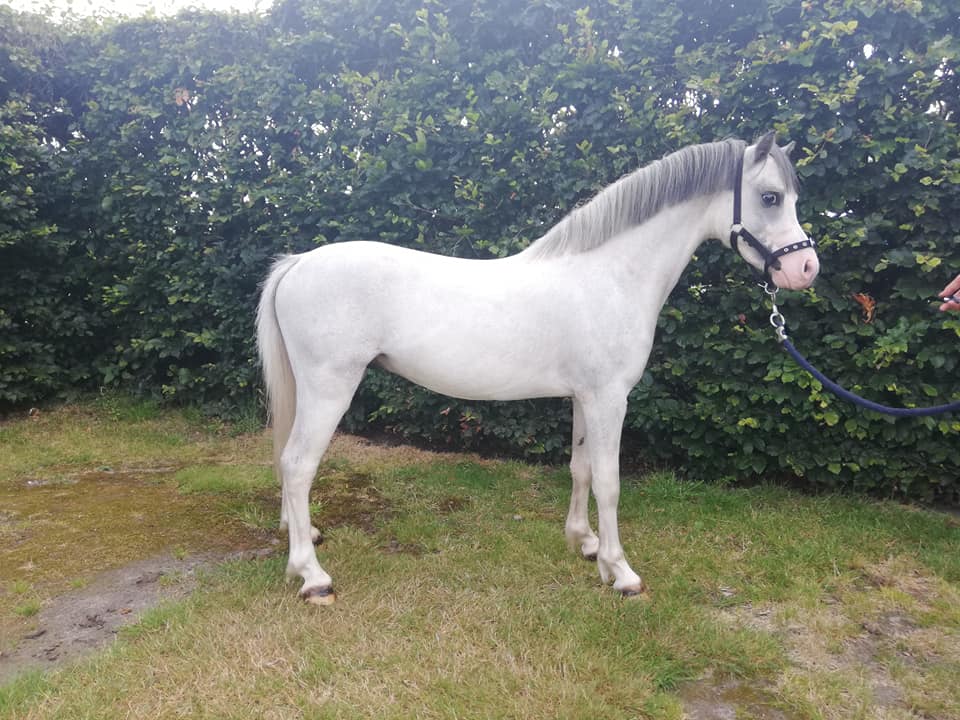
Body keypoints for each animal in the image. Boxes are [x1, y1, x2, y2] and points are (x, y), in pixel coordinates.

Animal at [256, 131, 819, 605]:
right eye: (771, 197)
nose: (806, 268)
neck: (611, 275)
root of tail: (298, 263)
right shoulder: (609, 398)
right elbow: (610, 481)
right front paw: (622, 572)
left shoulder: (584, 398)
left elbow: (580, 467)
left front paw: (585, 543)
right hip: (330, 387)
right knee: (298, 464)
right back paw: (312, 576)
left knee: (288, 462)